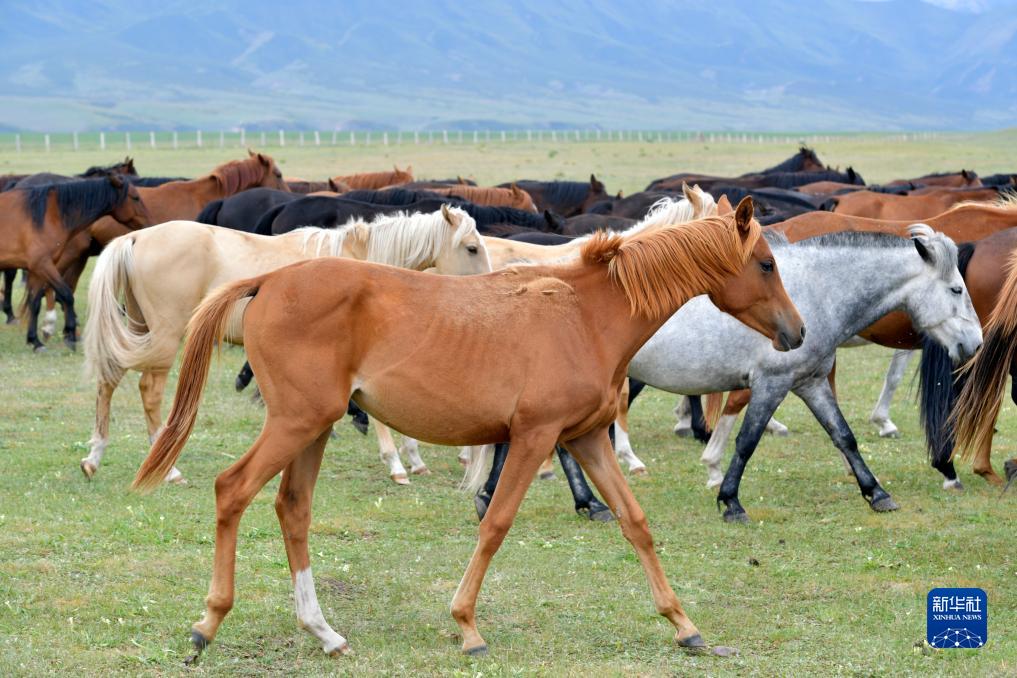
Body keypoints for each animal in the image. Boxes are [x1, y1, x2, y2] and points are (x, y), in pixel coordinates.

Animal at [0, 176, 150, 350]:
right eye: (135, 197)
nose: (149, 223)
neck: (49, 216)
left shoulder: (36, 270)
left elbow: (35, 303)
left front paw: (35, 341)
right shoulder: (43, 265)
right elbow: (66, 295)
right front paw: (70, 335)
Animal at [81, 206, 491, 486]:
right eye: (471, 248)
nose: (487, 286)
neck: (363, 263)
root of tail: (136, 237)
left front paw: (414, 459)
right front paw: (398, 464)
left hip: (140, 329)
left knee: (109, 379)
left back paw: (94, 456)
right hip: (165, 337)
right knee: (149, 391)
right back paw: (168, 468)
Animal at [129, 199, 804, 660]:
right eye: (766, 263)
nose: (797, 333)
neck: (585, 314)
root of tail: (268, 280)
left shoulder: (585, 438)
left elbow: (635, 522)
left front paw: (684, 625)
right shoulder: (535, 438)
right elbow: (495, 524)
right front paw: (467, 626)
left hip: (311, 428)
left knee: (292, 510)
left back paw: (323, 631)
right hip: (296, 425)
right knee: (233, 490)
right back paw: (208, 623)